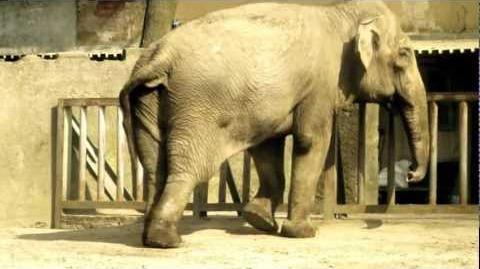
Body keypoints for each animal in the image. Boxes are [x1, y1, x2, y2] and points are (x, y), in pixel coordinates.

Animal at [118, 0, 430, 247]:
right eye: (405, 54)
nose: (411, 174)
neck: (338, 12)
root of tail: (160, 55)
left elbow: (267, 146)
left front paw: (258, 220)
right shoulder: (320, 86)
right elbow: (310, 141)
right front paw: (303, 233)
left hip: (149, 100)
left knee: (155, 168)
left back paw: (150, 237)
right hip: (196, 104)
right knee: (192, 168)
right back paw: (167, 241)